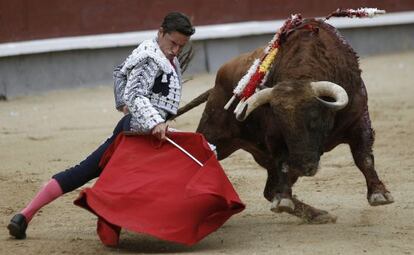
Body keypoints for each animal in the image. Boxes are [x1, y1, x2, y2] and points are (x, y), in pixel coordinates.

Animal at [173, 17, 392, 222]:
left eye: (315, 119)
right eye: (282, 124)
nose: (303, 166)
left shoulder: (359, 119)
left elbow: (363, 157)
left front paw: (379, 194)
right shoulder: (276, 138)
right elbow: (284, 163)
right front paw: (285, 200)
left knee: (270, 189)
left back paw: (315, 213)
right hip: (214, 136)